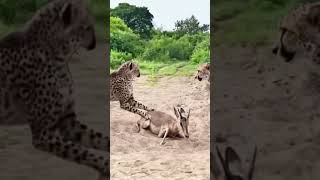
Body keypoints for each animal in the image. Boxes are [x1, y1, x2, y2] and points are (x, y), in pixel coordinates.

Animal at [0, 0, 109, 177]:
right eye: (86, 27)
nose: (94, 43)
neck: (57, 55)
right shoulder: (43, 134)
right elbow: (83, 153)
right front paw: (106, 167)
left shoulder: (68, 122)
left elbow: (99, 139)